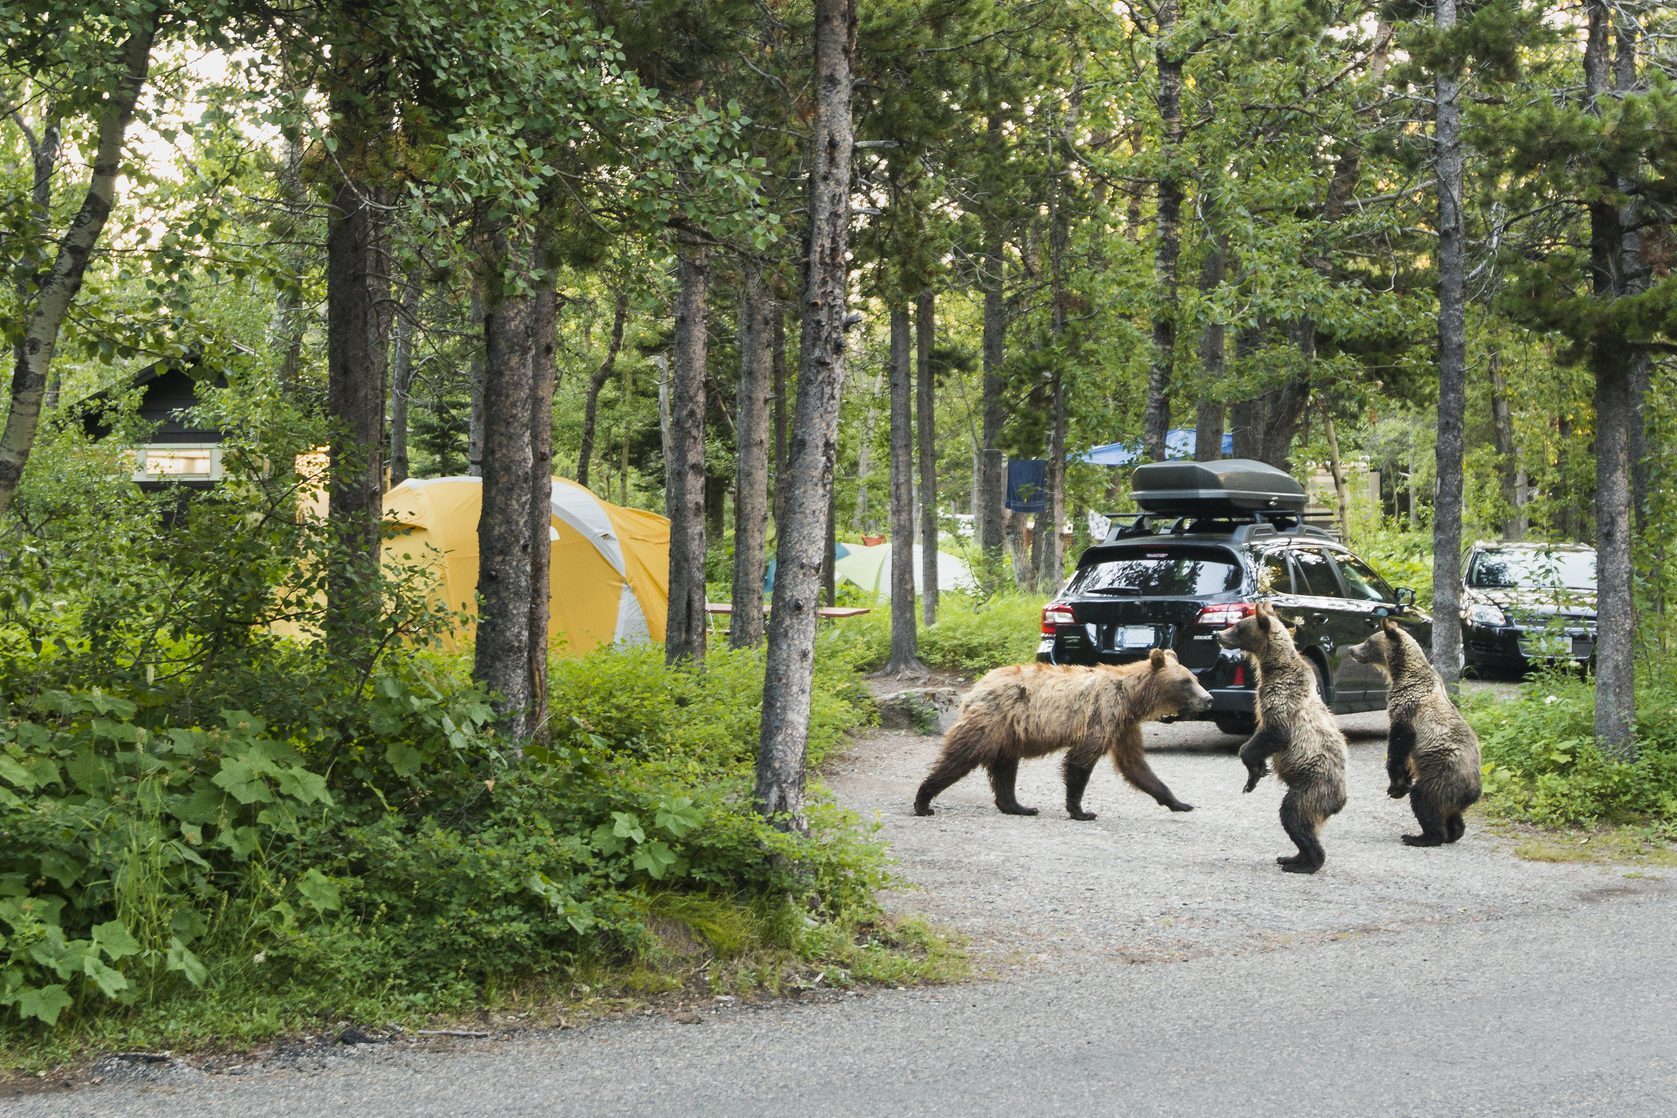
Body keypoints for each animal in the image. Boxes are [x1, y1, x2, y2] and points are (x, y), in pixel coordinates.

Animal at [912, 649, 1213, 820]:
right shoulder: (1101, 716)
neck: (1131, 699)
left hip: (1009, 731)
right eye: (1187, 681)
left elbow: (1135, 765)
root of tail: (977, 686)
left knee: (1005, 766)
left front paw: (1180, 802)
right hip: (991, 720)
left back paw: (1018, 806)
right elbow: (1080, 762)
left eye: (1195, 678)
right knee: (962, 756)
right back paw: (924, 801)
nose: (1208, 699)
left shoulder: (1123, 726)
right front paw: (1082, 811)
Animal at [1214, 601, 1348, 874]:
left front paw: (1254, 771)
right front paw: (1256, 774)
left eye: (1239, 626)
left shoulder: (1282, 699)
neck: (1273, 668)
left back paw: (1307, 862)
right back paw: (1291, 857)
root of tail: (1341, 800)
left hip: (1312, 786)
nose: (1218, 634)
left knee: (1294, 815)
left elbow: (1273, 733)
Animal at [1347, 618, 1483, 846]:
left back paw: (1421, 837)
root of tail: (1474, 791)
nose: (1351, 649)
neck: (1402, 674)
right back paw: (1454, 832)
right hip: (1451, 790)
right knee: (1450, 812)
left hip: (1440, 775)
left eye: (1368, 641)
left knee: (1423, 799)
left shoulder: (1407, 708)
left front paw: (1396, 787)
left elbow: (1399, 743)